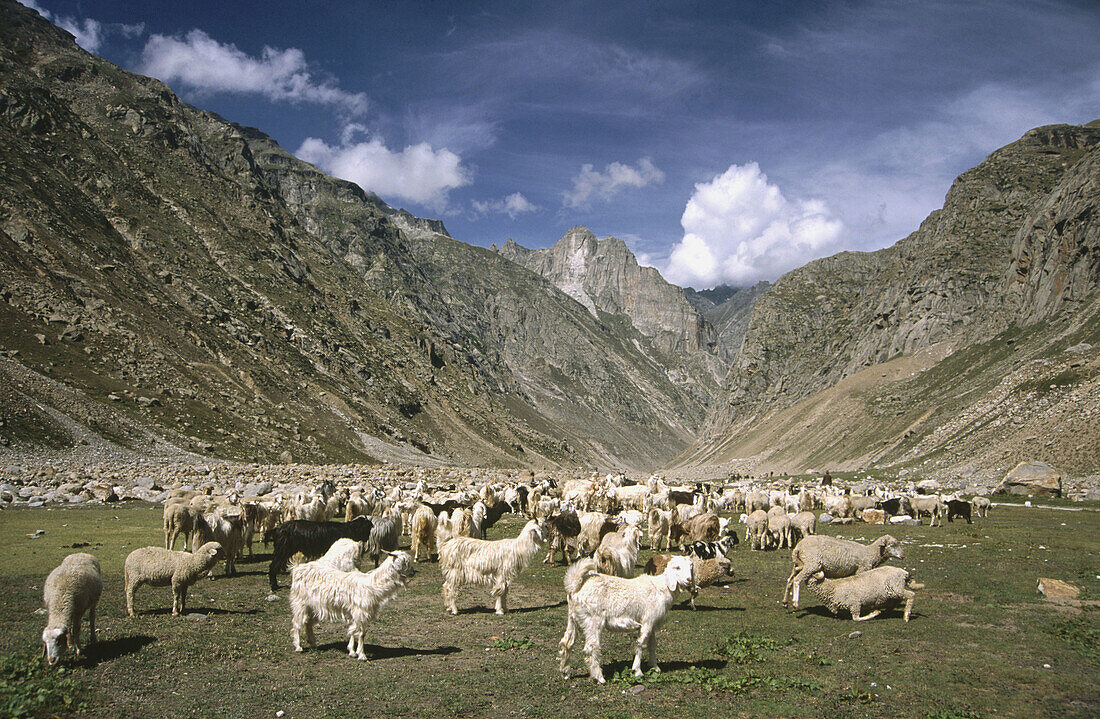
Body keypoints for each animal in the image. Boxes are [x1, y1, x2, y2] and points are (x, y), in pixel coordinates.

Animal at [558, 554, 695, 686]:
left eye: (691, 567)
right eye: (677, 567)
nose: (689, 580)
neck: (660, 587)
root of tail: (575, 586)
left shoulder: (653, 623)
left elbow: (652, 644)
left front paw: (655, 667)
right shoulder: (647, 621)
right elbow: (641, 644)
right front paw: (637, 671)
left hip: (573, 617)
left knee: (567, 642)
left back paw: (565, 672)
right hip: (593, 620)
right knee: (591, 647)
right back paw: (599, 677)